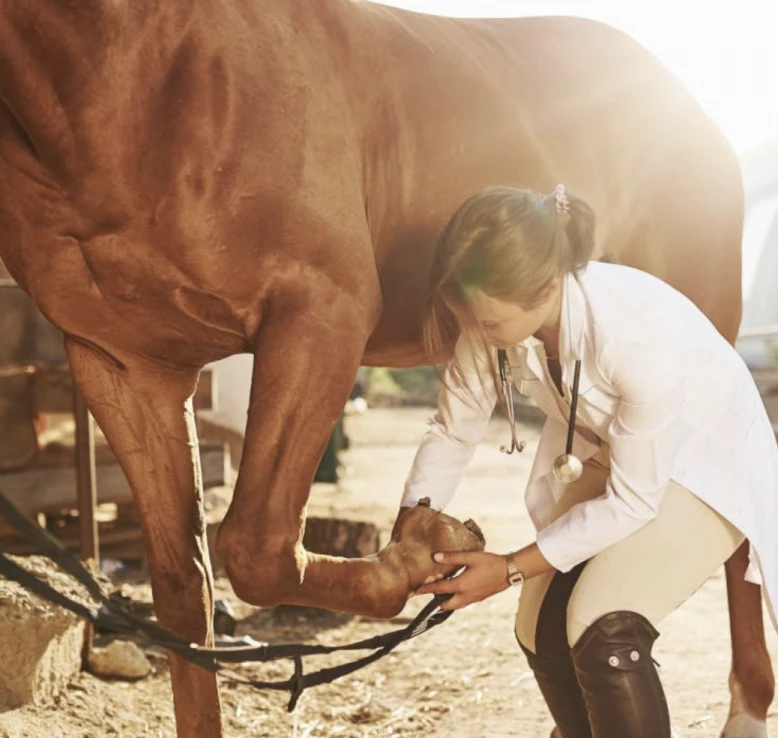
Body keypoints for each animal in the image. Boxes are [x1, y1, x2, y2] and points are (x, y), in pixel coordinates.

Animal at [0, 1, 768, 736]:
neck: (138, 67)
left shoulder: (321, 313)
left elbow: (255, 546)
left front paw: (426, 550)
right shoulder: (125, 368)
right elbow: (186, 598)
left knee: (734, 533)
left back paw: (748, 709)